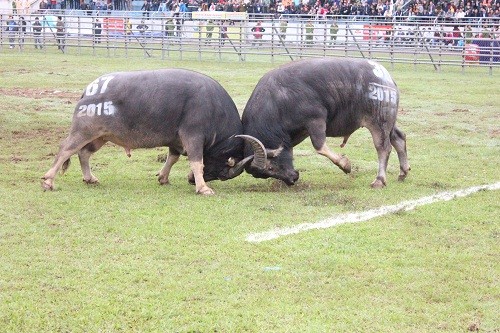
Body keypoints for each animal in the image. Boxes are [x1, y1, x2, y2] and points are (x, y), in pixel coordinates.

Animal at [41, 68, 250, 193]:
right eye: (222, 167)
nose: (191, 181)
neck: (214, 108)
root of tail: (88, 90)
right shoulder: (193, 135)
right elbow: (197, 162)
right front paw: (203, 188)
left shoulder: (176, 140)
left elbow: (172, 158)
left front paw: (163, 178)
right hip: (83, 130)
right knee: (65, 149)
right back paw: (48, 181)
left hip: (101, 136)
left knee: (83, 153)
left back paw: (89, 178)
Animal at [238, 57, 410, 187]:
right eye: (266, 174)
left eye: (270, 167)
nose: (292, 179)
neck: (277, 100)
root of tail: (386, 77)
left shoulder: (315, 121)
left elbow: (319, 146)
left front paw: (345, 165)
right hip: (389, 122)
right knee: (399, 138)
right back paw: (403, 172)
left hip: (379, 122)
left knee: (383, 148)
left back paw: (379, 180)